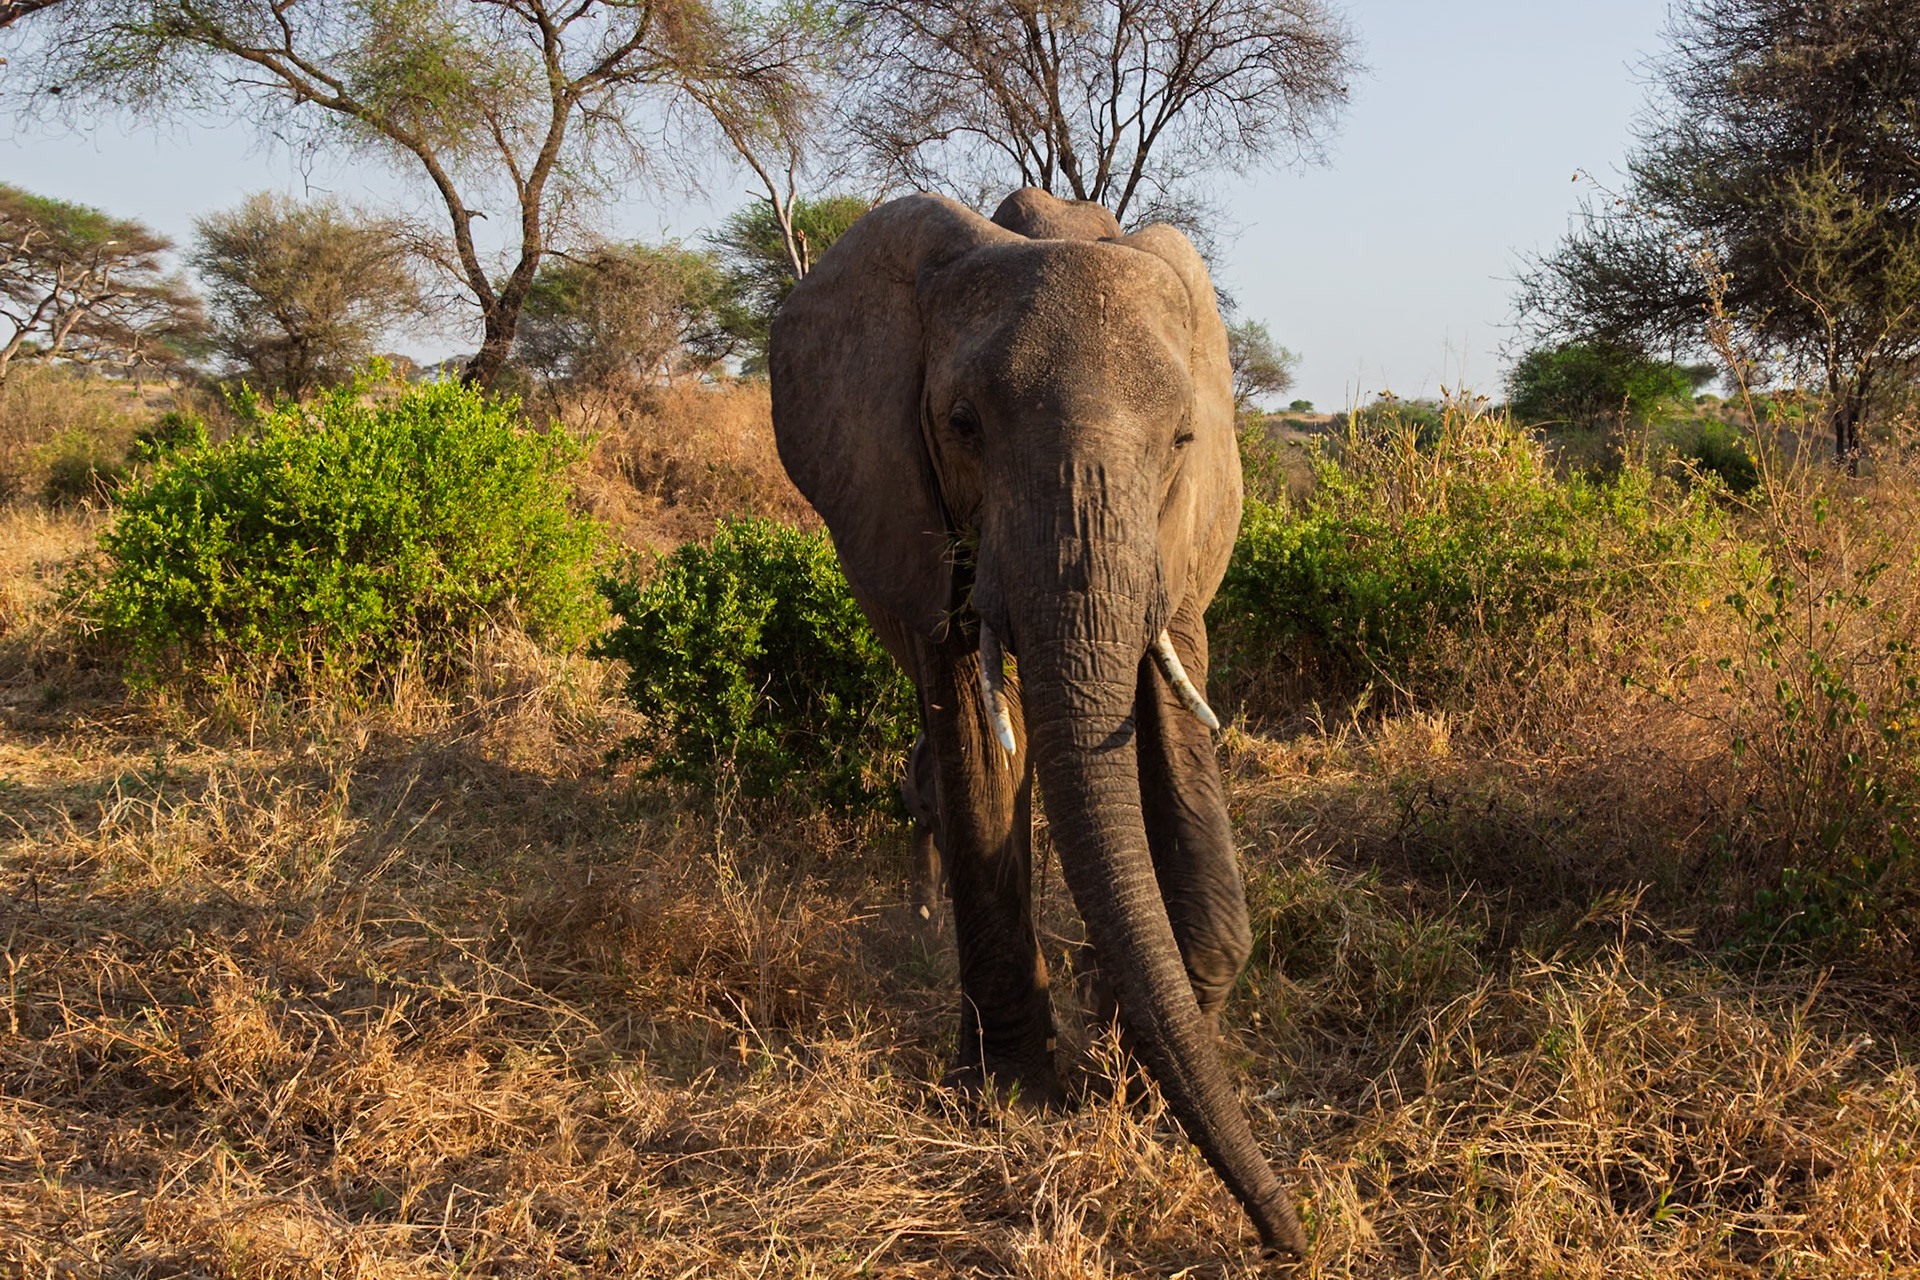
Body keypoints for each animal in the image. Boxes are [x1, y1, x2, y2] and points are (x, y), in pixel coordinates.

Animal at [769, 187, 1307, 1257]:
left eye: (1183, 441)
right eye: (963, 423)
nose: (1289, 1236)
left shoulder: (1178, 540)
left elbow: (1171, 713)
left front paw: (1140, 1048)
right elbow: (975, 726)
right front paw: (1018, 1092)